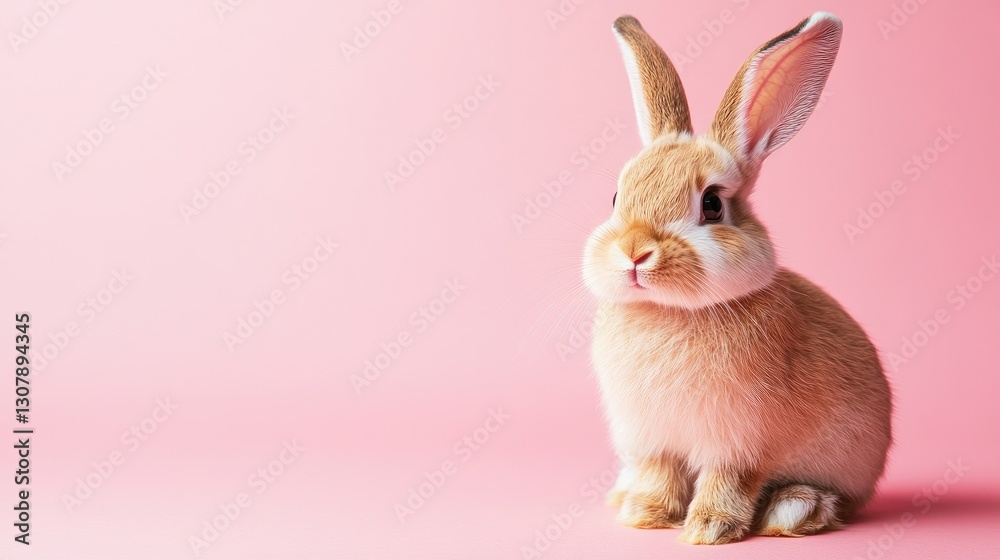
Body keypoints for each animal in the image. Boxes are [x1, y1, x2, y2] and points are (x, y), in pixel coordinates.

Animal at [582, 12, 892, 544]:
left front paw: (709, 529)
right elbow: (659, 473)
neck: (670, 312)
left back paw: (797, 508)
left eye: (711, 204)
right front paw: (645, 515)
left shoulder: (740, 442)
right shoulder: (653, 440)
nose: (634, 252)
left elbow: (727, 480)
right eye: (617, 197)